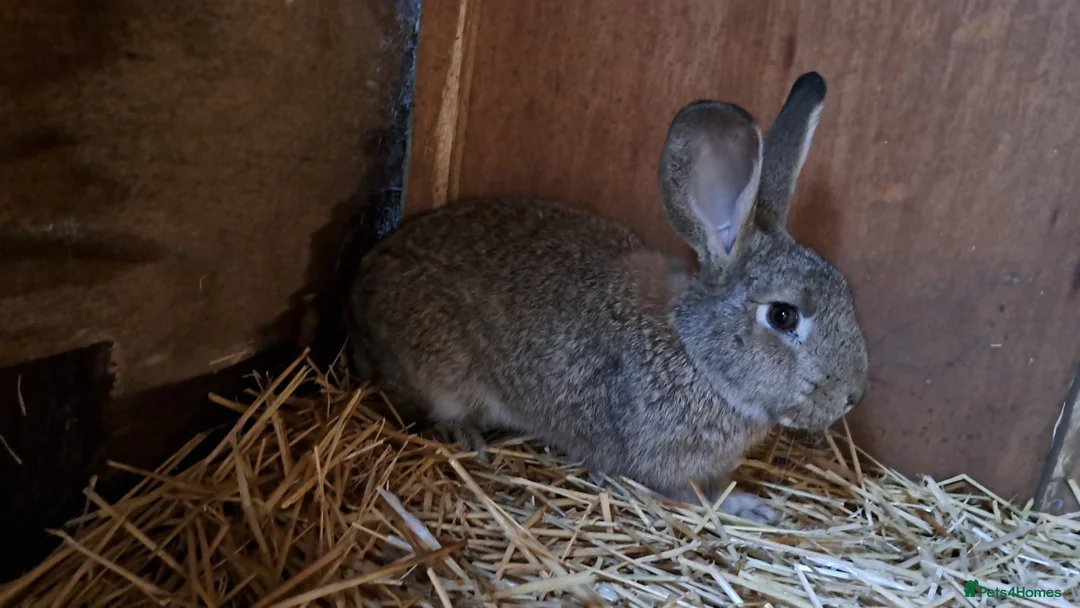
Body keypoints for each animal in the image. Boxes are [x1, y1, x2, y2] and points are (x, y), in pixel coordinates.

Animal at [346, 72, 868, 524]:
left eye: (846, 291)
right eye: (782, 316)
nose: (852, 397)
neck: (697, 355)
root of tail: (365, 282)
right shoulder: (657, 463)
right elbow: (695, 496)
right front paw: (750, 507)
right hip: (439, 373)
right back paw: (464, 434)